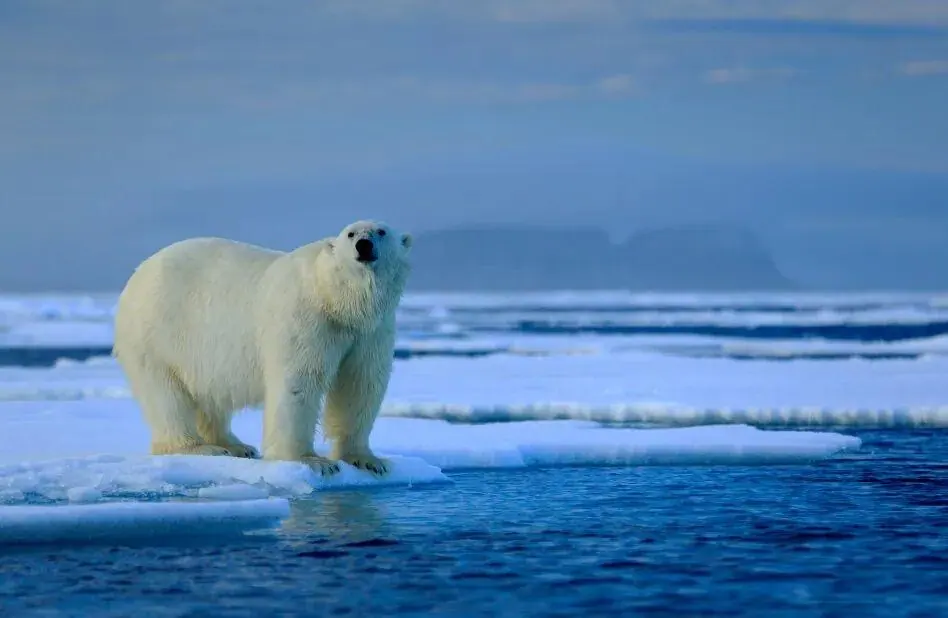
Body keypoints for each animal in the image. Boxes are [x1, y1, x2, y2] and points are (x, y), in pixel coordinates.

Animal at [112, 219, 412, 477]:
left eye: (381, 231)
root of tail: (136, 276)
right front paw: (311, 461)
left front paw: (366, 460)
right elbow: (299, 382)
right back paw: (199, 447)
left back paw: (235, 445)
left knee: (208, 396)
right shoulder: (306, 318)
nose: (364, 245)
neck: (334, 299)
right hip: (157, 335)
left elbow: (360, 384)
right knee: (166, 395)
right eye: (350, 234)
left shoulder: (370, 332)